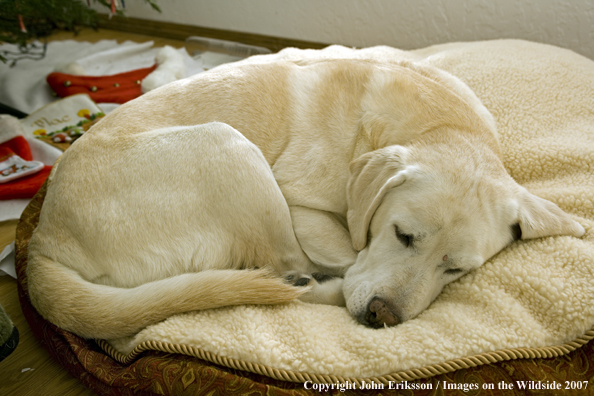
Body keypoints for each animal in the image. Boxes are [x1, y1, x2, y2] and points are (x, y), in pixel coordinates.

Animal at [25, 57, 580, 338]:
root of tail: (41, 244)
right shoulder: (300, 205)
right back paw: (306, 283)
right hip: (228, 147)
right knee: (286, 271)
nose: (382, 316)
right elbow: (348, 254)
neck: (441, 123)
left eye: (458, 269)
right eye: (402, 235)